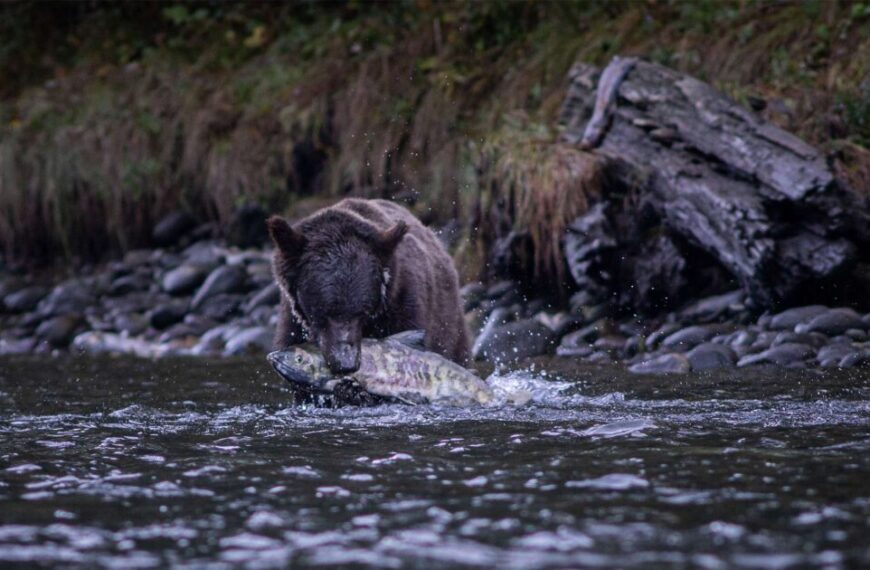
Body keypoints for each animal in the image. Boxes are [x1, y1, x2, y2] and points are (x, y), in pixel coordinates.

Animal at [267, 198, 469, 375]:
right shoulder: (291, 324)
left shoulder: (405, 307)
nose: (345, 363)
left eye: (362, 312)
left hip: (450, 325)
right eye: (322, 312)